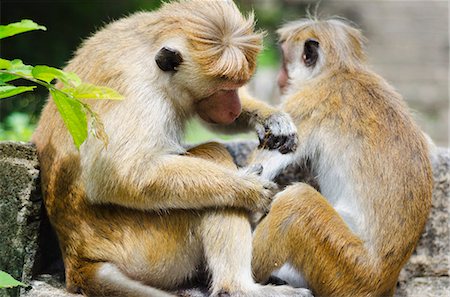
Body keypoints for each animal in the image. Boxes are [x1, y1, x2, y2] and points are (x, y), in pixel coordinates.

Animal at [31, 0, 312, 296]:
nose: (235, 108)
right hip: (148, 246)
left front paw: (272, 119)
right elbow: (117, 175)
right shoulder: (138, 92)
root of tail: (78, 258)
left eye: (236, 86)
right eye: (224, 89)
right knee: (212, 156)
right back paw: (239, 287)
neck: (148, 57)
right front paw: (247, 189)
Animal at [251, 18, 434, 296]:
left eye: (284, 61)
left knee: (297, 203)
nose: (280, 79)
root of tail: (384, 282)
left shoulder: (306, 103)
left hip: (347, 270)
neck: (340, 69)